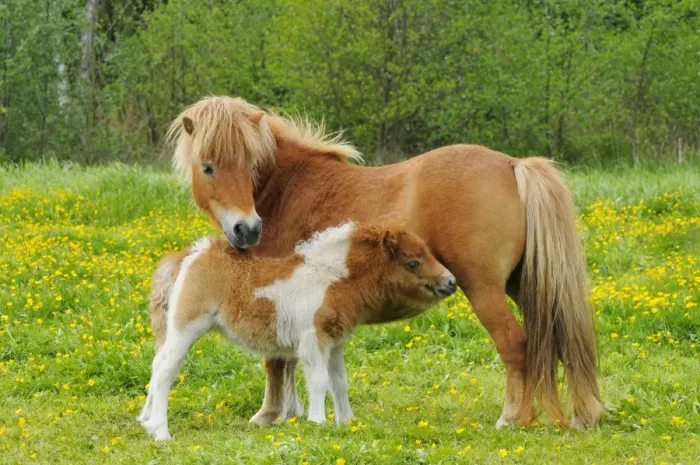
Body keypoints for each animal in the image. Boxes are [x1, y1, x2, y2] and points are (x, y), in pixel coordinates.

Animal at [137, 222, 456, 440]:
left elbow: (339, 381)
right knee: (165, 370)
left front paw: (347, 423)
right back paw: (162, 432)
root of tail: (189, 255)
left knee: (155, 364)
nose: (451, 282)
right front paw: (318, 422)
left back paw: (146, 421)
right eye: (412, 262)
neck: (330, 278)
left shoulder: (335, 341)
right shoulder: (314, 339)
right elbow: (319, 380)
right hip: (186, 327)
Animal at [166, 95, 605, 429]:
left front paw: (269, 414)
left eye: (250, 164)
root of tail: (513, 164)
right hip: (526, 286)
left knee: (516, 345)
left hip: (484, 289)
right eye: (208, 167)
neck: (287, 189)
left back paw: (512, 419)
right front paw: (289, 412)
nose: (247, 230)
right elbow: (285, 358)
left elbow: (274, 359)